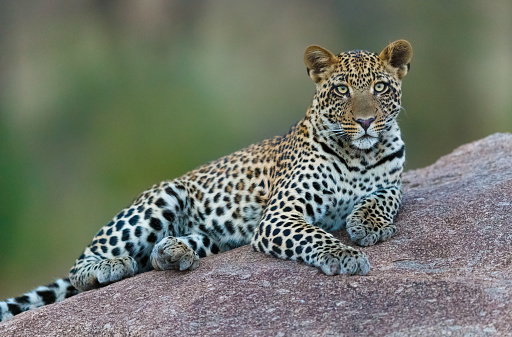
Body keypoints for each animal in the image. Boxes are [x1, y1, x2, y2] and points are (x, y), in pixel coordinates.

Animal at [1, 39, 412, 320]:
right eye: (342, 89)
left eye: (380, 88)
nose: (365, 121)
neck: (360, 154)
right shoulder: (279, 215)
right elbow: (314, 235)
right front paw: (345, 254)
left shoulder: (393, 181)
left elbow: (386, 197)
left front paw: (367, 224)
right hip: (161, 198)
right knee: (82, 265)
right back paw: (111, 266)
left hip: (213, 237)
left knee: (159, 255)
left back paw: (173, 252)